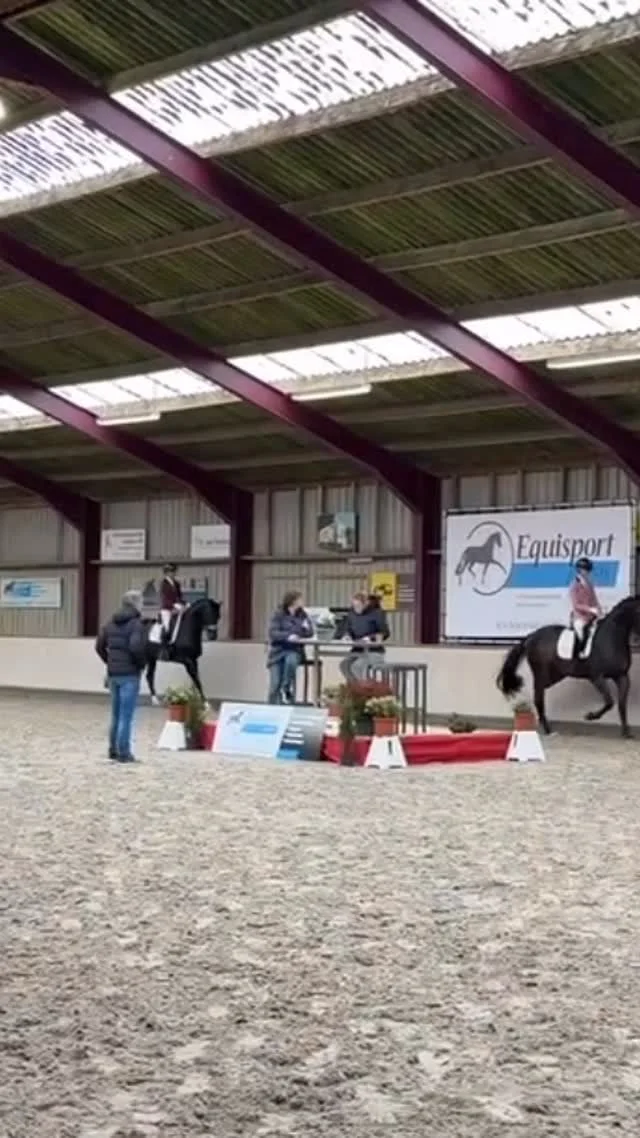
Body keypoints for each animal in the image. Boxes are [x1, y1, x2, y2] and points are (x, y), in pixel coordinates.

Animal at [496, 595, 640, 738]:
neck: (610, 638)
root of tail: (531, 636)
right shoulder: (596, 677)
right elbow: (609, 702)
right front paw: (590, 716)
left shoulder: (622, 677)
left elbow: (621, 705)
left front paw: (626, 733)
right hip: (541, 672)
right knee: (538, 695)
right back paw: (547, 730)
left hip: (557, 675)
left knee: (541, 691)